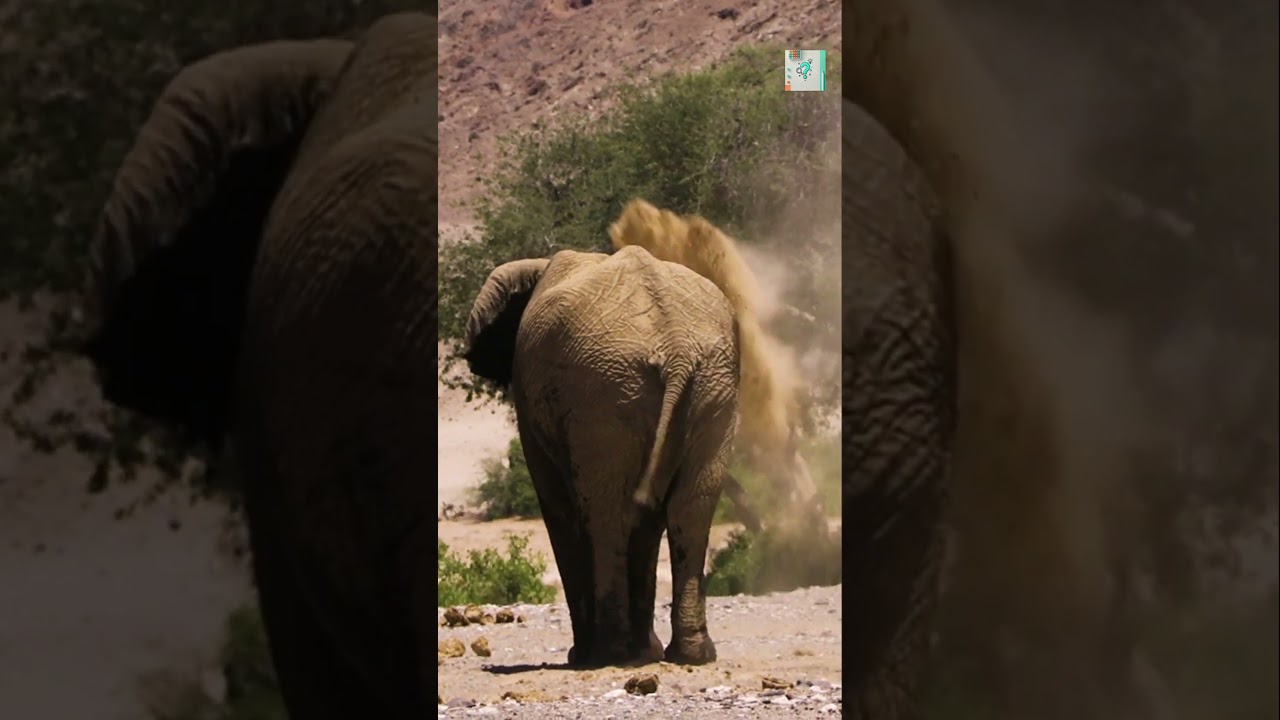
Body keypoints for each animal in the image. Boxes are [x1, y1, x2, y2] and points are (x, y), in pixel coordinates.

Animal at [463, 246, 740, 667]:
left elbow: (558, 507)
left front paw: (584, 655)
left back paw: (608, 655)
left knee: (608, 511)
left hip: (602, 389)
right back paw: (690, 655)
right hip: (707, 385)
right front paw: (647, 653)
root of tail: (675, 345)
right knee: (688, 509)